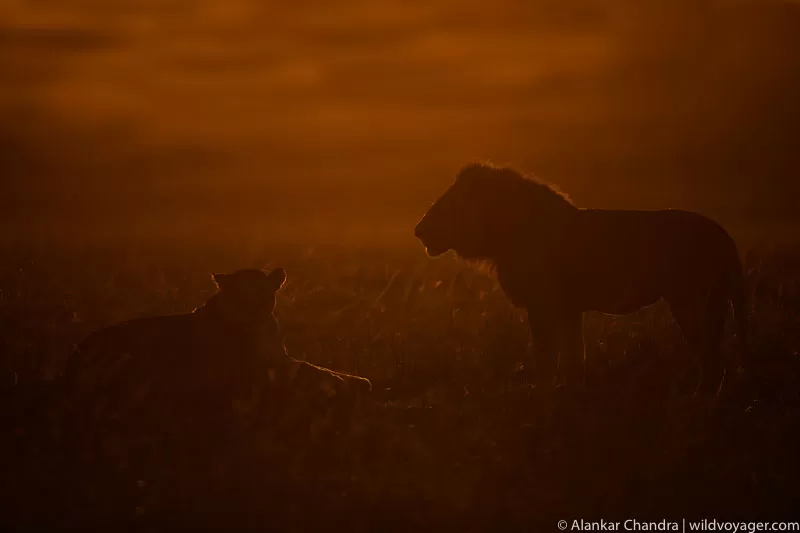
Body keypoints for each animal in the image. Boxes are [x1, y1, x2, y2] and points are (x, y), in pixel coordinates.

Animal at [416, 162, 748, 390]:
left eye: (451, 203)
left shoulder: (543, 307)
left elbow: (546, 360)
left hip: (687, 300)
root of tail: (726, 239)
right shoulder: (570, 310)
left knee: (709, 358)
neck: (503, 236)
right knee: (715, 357)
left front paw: (543, 401)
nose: (418, 230)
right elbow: (574, 359)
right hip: (714, 301)